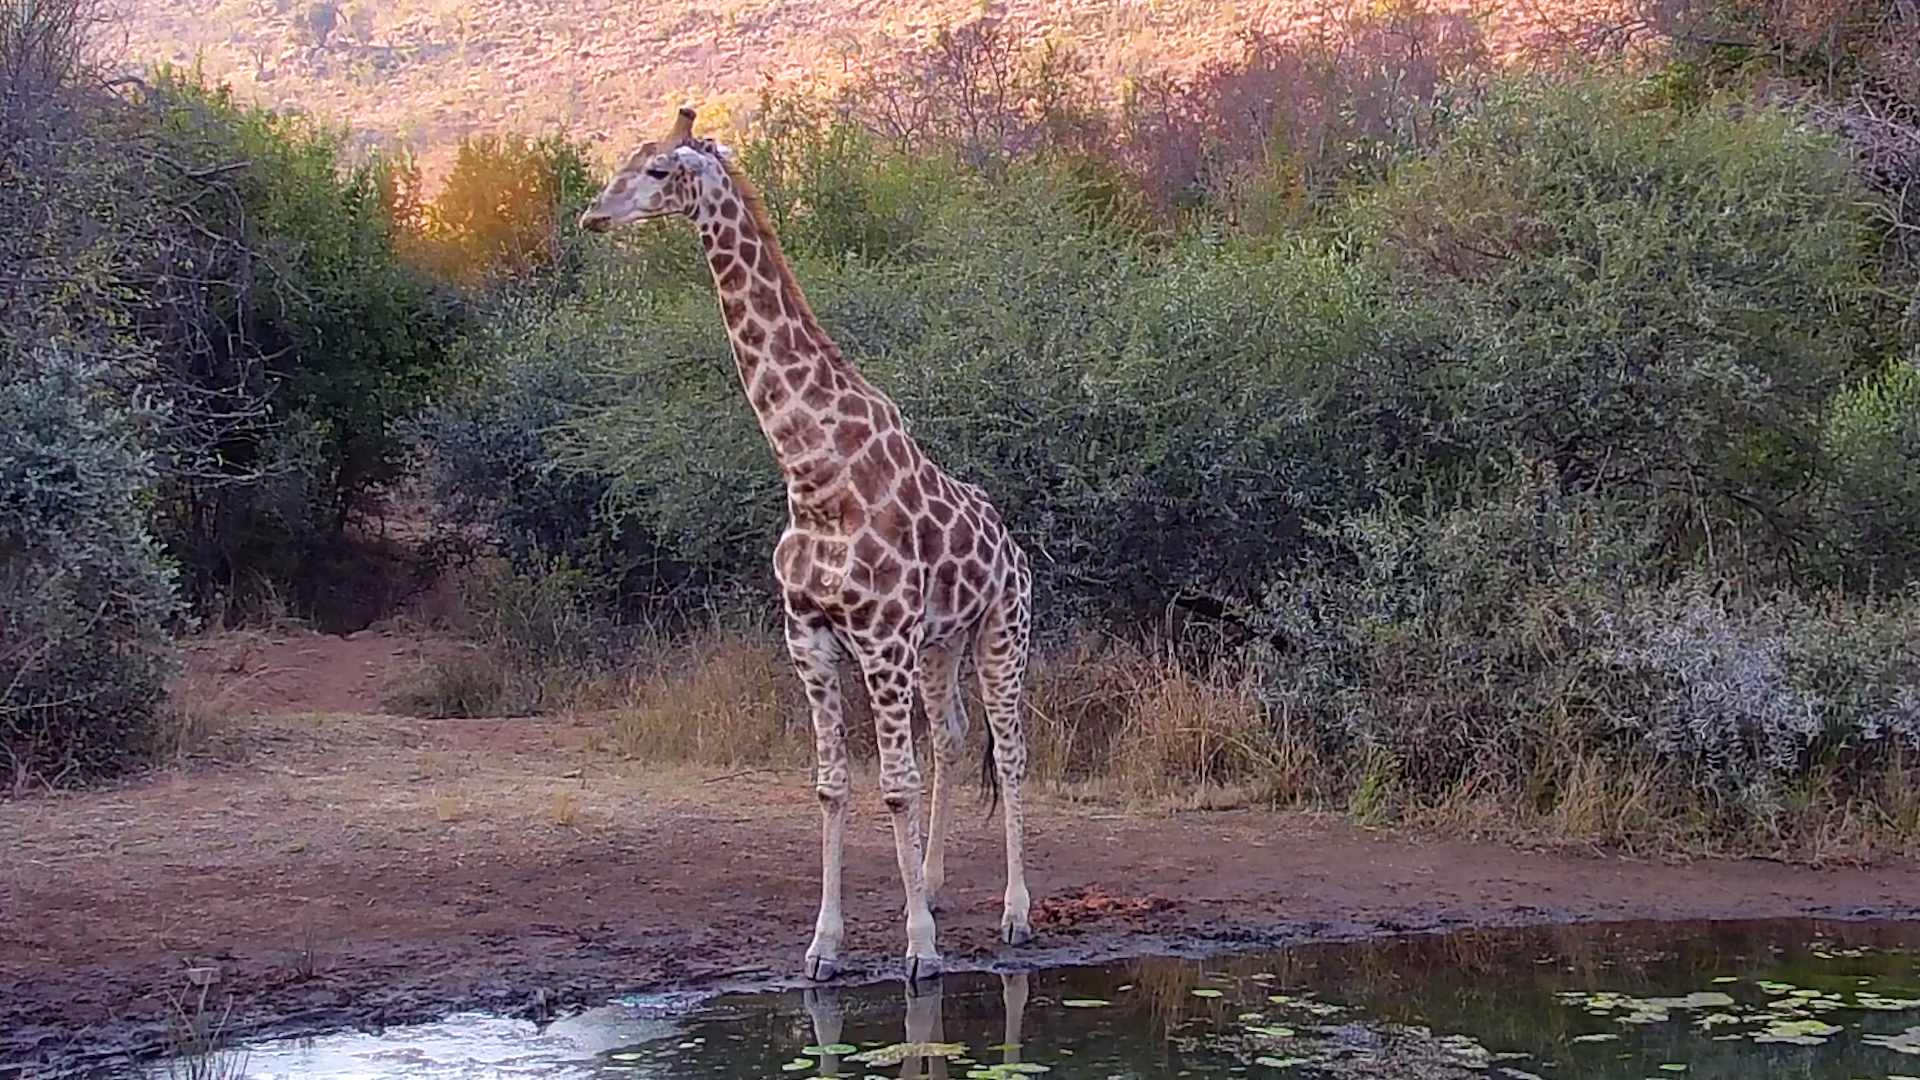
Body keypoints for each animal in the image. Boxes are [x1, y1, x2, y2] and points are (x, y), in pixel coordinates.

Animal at [578, 106, 1035, 983]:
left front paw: (918, 949)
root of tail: (1013, 544)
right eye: (625, 158)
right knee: (953, 736)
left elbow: (892, 783)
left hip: (1004, 632)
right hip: (941, 644)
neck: (812, 471)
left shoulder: (880, 640)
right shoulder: (810, 638)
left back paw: (1015, 913)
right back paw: (933, 884)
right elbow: (830, 785)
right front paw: (825, 946)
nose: (592, 217)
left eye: (658, 170)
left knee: (1011, 746)